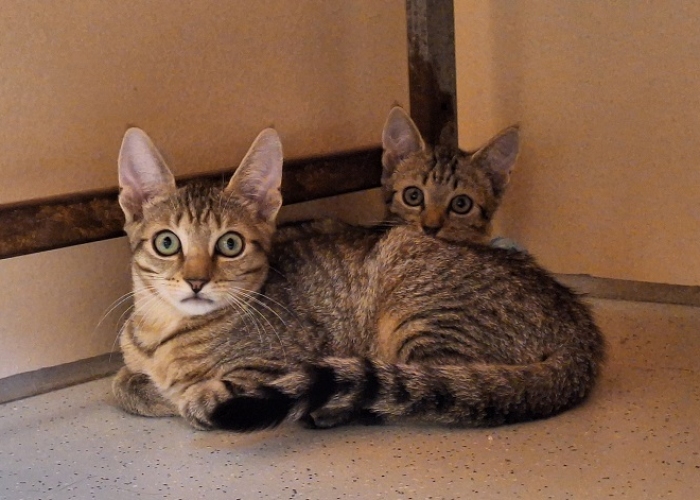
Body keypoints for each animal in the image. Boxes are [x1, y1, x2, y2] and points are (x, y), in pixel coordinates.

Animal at [112, 124, 604, 430]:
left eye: (230, 244)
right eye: (167, 243)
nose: (196, 281)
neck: (162, 332)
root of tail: (581, 330)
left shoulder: (291, 357)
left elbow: (196, 396)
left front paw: (182, 395)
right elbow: (122, 384)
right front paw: (150, 386)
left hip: (416, 306)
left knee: (426, 390)